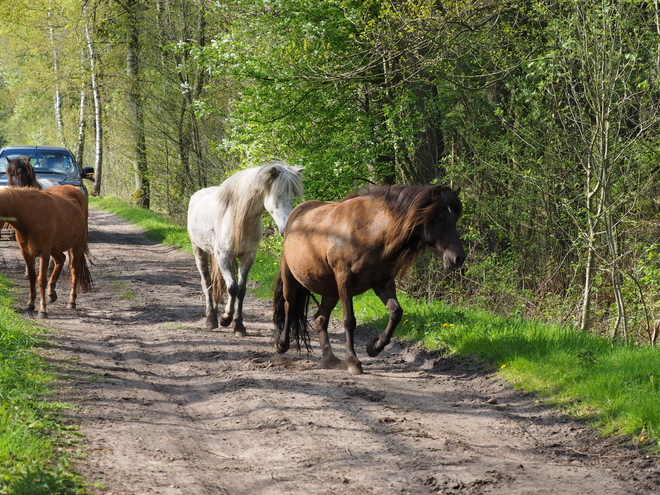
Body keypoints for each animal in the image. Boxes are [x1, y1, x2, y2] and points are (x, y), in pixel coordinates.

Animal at [0, 185, 93, 318]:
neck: (29, 217)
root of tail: (76, 189)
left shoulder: (44, 253)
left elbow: (41, 280)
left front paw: (42, 310)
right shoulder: (26, 253)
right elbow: (32, 278)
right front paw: (30, 305)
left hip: (76, 245)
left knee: (75, 269)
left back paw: (71, 302)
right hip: (55, 248)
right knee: (61, 260)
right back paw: (51, 293)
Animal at [188, 162, 304, 338]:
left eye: (292, 196)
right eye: (278, 195)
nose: (286, 229)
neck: (240, 218)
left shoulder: (248, 257)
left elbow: (241, 290)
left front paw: (239, 326)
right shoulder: (223, 256)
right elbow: (232, 288)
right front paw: (225, 319)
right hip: (199, 250)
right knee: (206, 281)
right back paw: (211, 319)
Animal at [272, 184, 464, 374]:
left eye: (455, 218)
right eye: (440, 218)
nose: (459, 258)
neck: (367, 232)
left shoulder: (382, 283)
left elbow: (396, 312)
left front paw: (374, 347)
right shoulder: (344, 279)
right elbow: (349, 320)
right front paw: (353, 361)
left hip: (331, 291)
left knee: (320, 318)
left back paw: (329, 358)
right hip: (292, 279)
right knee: (290, 306)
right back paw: (282, 344)